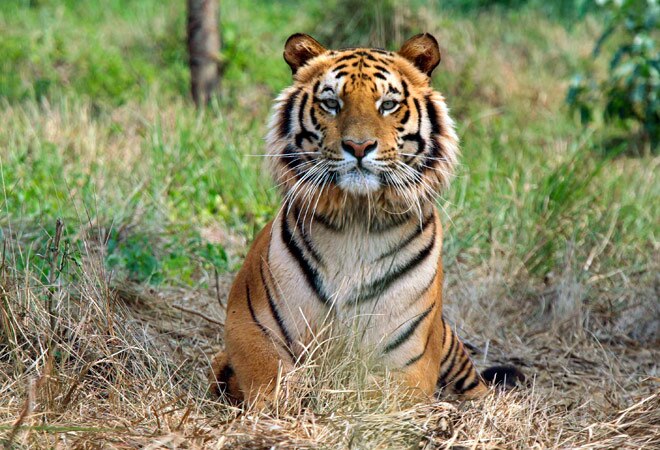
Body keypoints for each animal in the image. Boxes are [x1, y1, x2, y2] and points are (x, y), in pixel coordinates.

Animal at [210, 33, 522, 405]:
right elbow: (270, 381)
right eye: (331, 103)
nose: (358, 147)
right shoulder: (248, 326)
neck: (356, 222)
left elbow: (373, 397)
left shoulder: (408, 360)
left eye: (387, 104)